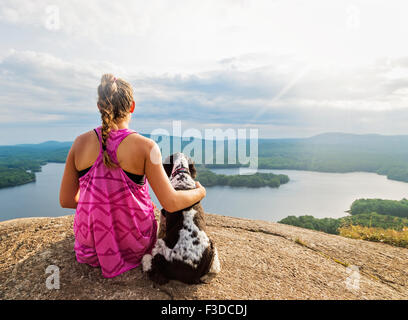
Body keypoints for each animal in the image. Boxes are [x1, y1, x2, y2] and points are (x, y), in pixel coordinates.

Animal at [143, 152, 222, 284]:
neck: (182, 174)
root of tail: (194, 274)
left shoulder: (164, 215)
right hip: (211, 244)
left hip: (162, 248)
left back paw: (146, 260)